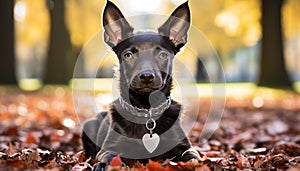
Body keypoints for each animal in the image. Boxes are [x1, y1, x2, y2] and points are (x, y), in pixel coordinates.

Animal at [81, 0, 200, 168]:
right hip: (88, 125)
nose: (146, 76)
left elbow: (192, 155)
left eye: (162, 55)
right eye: (128, 55)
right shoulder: (108, 148)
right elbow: (109, 157)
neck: (146, 111)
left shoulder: (184, 146)